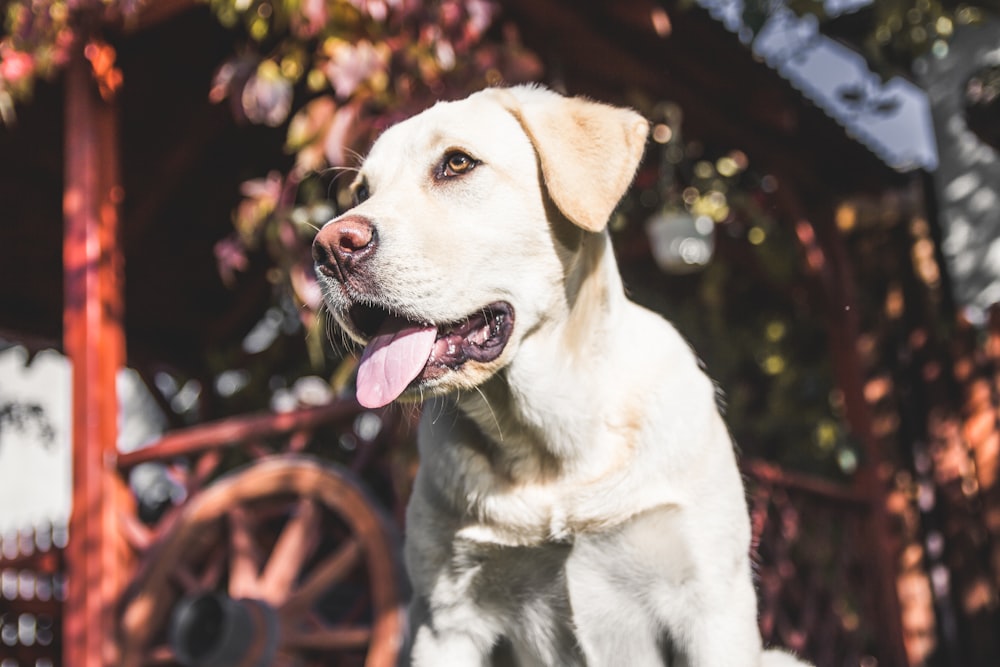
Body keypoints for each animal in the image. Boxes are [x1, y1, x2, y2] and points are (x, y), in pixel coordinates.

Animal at [314, 86, 812, 664]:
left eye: (457, 163)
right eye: (362, 191)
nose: (328, 247)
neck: (551, 450)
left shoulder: (711, 607)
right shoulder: (446, 621)